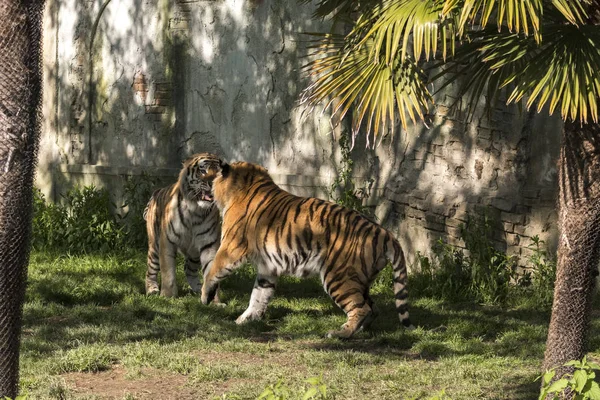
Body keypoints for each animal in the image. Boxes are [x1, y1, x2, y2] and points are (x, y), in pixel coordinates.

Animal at [144, 152, 224, 302]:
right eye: (202, 171)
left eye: (218, 172)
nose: (213, 183)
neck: (196, 211)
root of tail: (156, 192)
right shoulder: (167, 242)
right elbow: (168, 272)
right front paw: (167, 296)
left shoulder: (209, 245)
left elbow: (211, 273)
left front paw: (214, 301)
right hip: (154, 247)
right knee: (150, 270)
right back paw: (152, 290)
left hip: (194, 254)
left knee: (188, 269)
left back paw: (198, 288)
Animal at [202, 159, 412, 338]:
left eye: (210, 177)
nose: (206, 186)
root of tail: (384, 233)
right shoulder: (268, 268)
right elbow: (259, 295)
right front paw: (246, 319)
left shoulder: (231, 248)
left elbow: (212, 270)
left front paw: (205, 297)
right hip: (360, 279)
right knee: (373, 308)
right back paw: (358, 331)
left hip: (338, 276)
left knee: (362, 309)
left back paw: (340, 333)